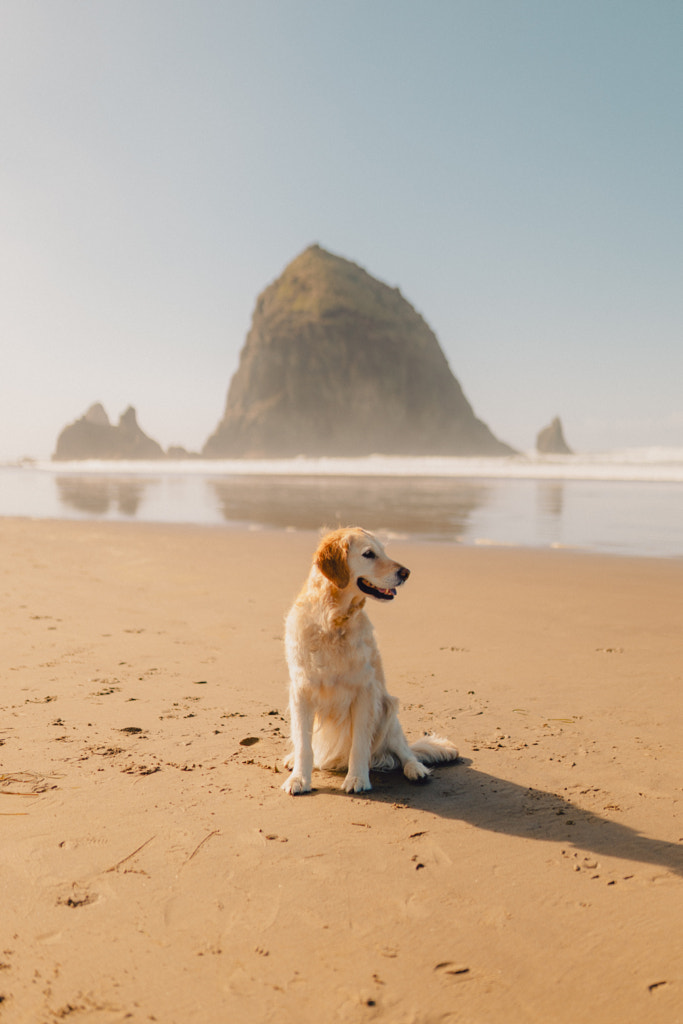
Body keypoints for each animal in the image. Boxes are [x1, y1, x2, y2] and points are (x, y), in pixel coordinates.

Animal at [282, 524, 458, 794]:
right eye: (368, 554)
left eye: (383, 551)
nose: (406, 573)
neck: (333, 621)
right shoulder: (301, 691)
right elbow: (304, 743)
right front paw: (299, 779)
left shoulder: (365, 691)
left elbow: (359, 744)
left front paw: (357, 779)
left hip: (388, 709)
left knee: (405, 750)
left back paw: (415, 769)